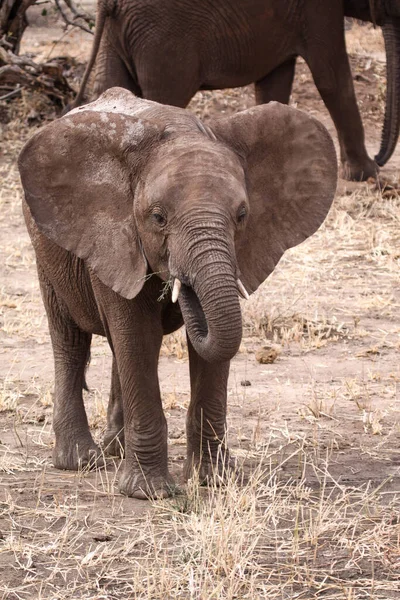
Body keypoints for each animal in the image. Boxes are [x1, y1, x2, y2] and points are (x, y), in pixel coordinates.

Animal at [18, 88, 338, 502]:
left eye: (242, 215)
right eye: (158, 218)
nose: (179, 282)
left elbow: (204, 351)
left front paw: (214, 482)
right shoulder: (115, 239)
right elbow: (137, 335)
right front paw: (149, 493)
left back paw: (115, 450)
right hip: (46, 250)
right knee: (71, 340)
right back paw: (81, 461)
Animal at [72, 1, 400, 182]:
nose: (380, 157)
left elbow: (273, 83)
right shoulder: (317, 10)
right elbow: (332, 78)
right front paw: (367, 175)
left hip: (119, 33)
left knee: (110, 88)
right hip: (163, 37)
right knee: (163, 99)